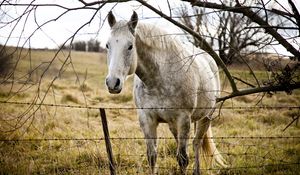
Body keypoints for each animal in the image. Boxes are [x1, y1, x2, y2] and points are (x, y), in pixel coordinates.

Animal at [105, 11, 225, 174]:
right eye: (107, 45)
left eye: (130, 46)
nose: (112, 82)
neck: (158, 80)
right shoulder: (147, 119)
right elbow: (152, 157)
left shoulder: (183, 119)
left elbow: (183, 159)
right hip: (174, 125)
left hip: (206, 117)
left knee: (196, 144)